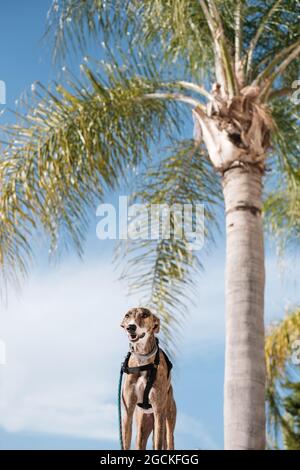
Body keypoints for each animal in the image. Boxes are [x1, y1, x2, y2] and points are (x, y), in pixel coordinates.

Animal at [120, 306, 176, 450]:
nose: (131, 327)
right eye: (127, 315)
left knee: (169, 440)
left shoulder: (158, 411)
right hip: (142, 426)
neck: (143, 360)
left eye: (144, 315)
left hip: (167, 419)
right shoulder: (127, 413)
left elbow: (158, 444)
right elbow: (125, 443)